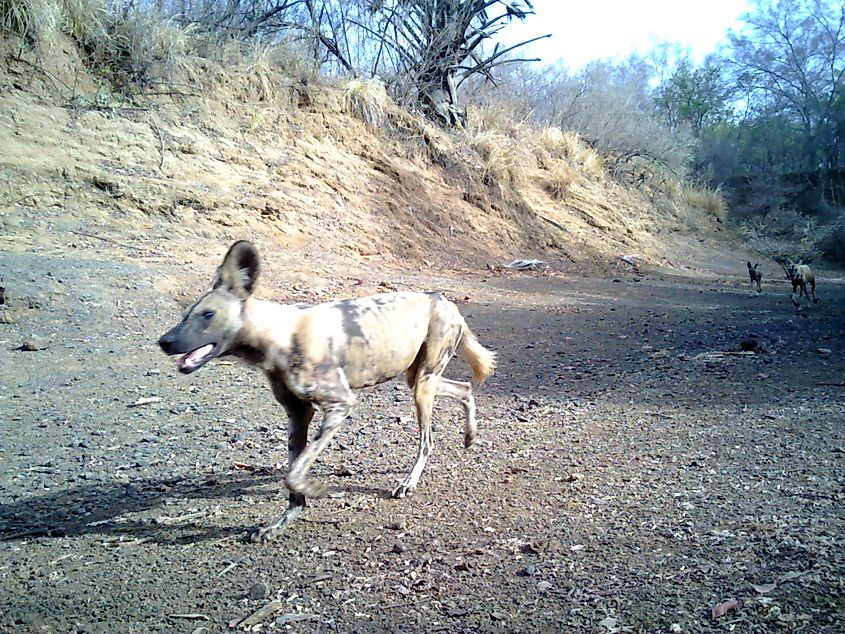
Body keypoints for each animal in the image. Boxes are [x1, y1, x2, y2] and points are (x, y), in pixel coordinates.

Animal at [158, 239, 494, 540]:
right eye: (186, 315)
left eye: (208, 315)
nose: (164, 341)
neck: (277, 336)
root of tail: (445, 300)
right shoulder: (298, 415)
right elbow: (292, 476)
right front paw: (281, 523)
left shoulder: (340, 405)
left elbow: (293, 474)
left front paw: (313, 490)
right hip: (419, 379)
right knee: (465, 388)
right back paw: (470, 436)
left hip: (422, 385)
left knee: (427, 440)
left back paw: (408, 482)